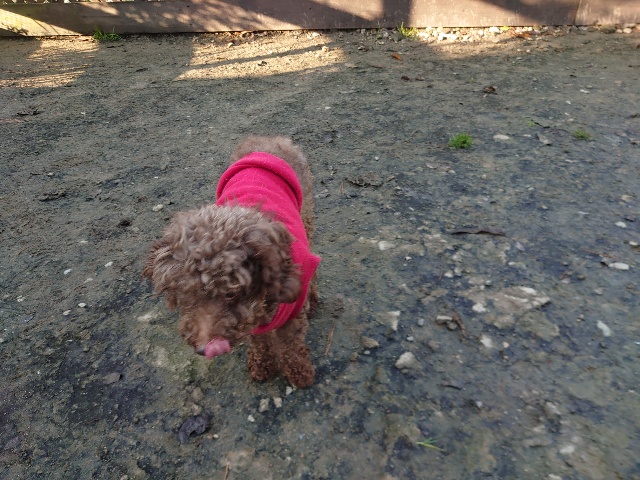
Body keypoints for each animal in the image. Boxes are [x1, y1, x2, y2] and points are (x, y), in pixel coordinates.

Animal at [143, 136, 320, 388]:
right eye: (186, 295)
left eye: (230, 293)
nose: (203, 349)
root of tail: (268, 139)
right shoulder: (251, 323)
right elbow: (260, 342)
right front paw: (262, 365)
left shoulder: (292, 314)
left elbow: (291, 345)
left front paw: (299, 372)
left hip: (306, 210)